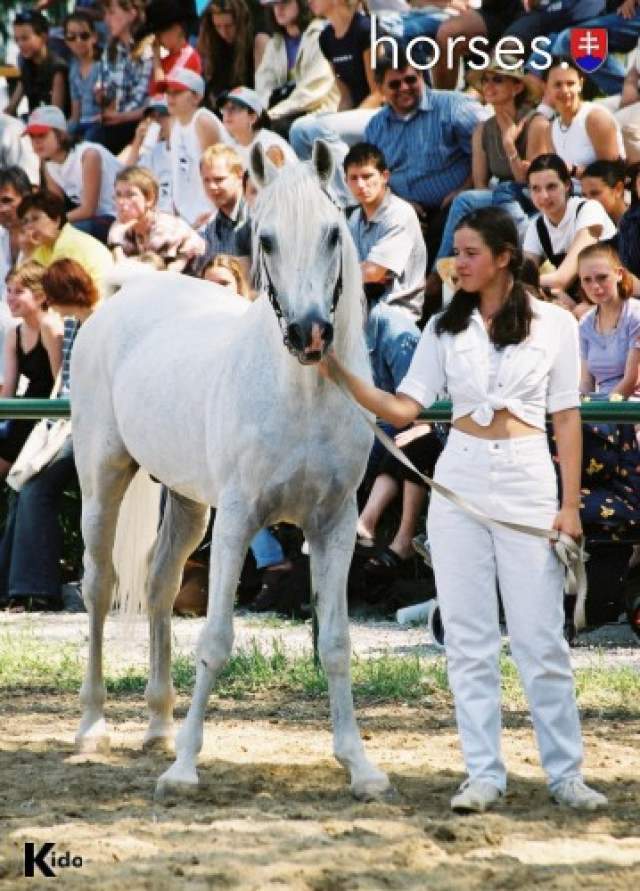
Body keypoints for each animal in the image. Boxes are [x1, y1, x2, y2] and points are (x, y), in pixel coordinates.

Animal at [70, 142, 391, 800]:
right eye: (265, 239)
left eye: (331, 234)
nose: (310, 332)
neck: (299, 395)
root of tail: (125, 295)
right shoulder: (240, 519)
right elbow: (216, 639)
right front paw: (184, 770)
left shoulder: (335, 526)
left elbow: (336, 643)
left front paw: (360, 766)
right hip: (103, 481)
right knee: (100, 585)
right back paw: (94, 728)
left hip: (189, 503)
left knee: (160, 582)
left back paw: (159, 726)